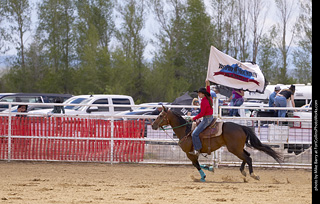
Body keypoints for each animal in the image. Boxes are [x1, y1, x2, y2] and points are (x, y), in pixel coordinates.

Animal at [151, 107, 282, 182]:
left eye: (161, 115)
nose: (152, 125)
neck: (186, 131)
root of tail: (241, 127)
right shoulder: (193, 154)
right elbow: (197, 164)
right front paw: (210, 168)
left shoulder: (190, 153)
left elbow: (196, 165)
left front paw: (203, 177)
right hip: (238, 148)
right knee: (247, 156)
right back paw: (243, 172)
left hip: (234, 149)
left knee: (248, 158)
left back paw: (253, 175)